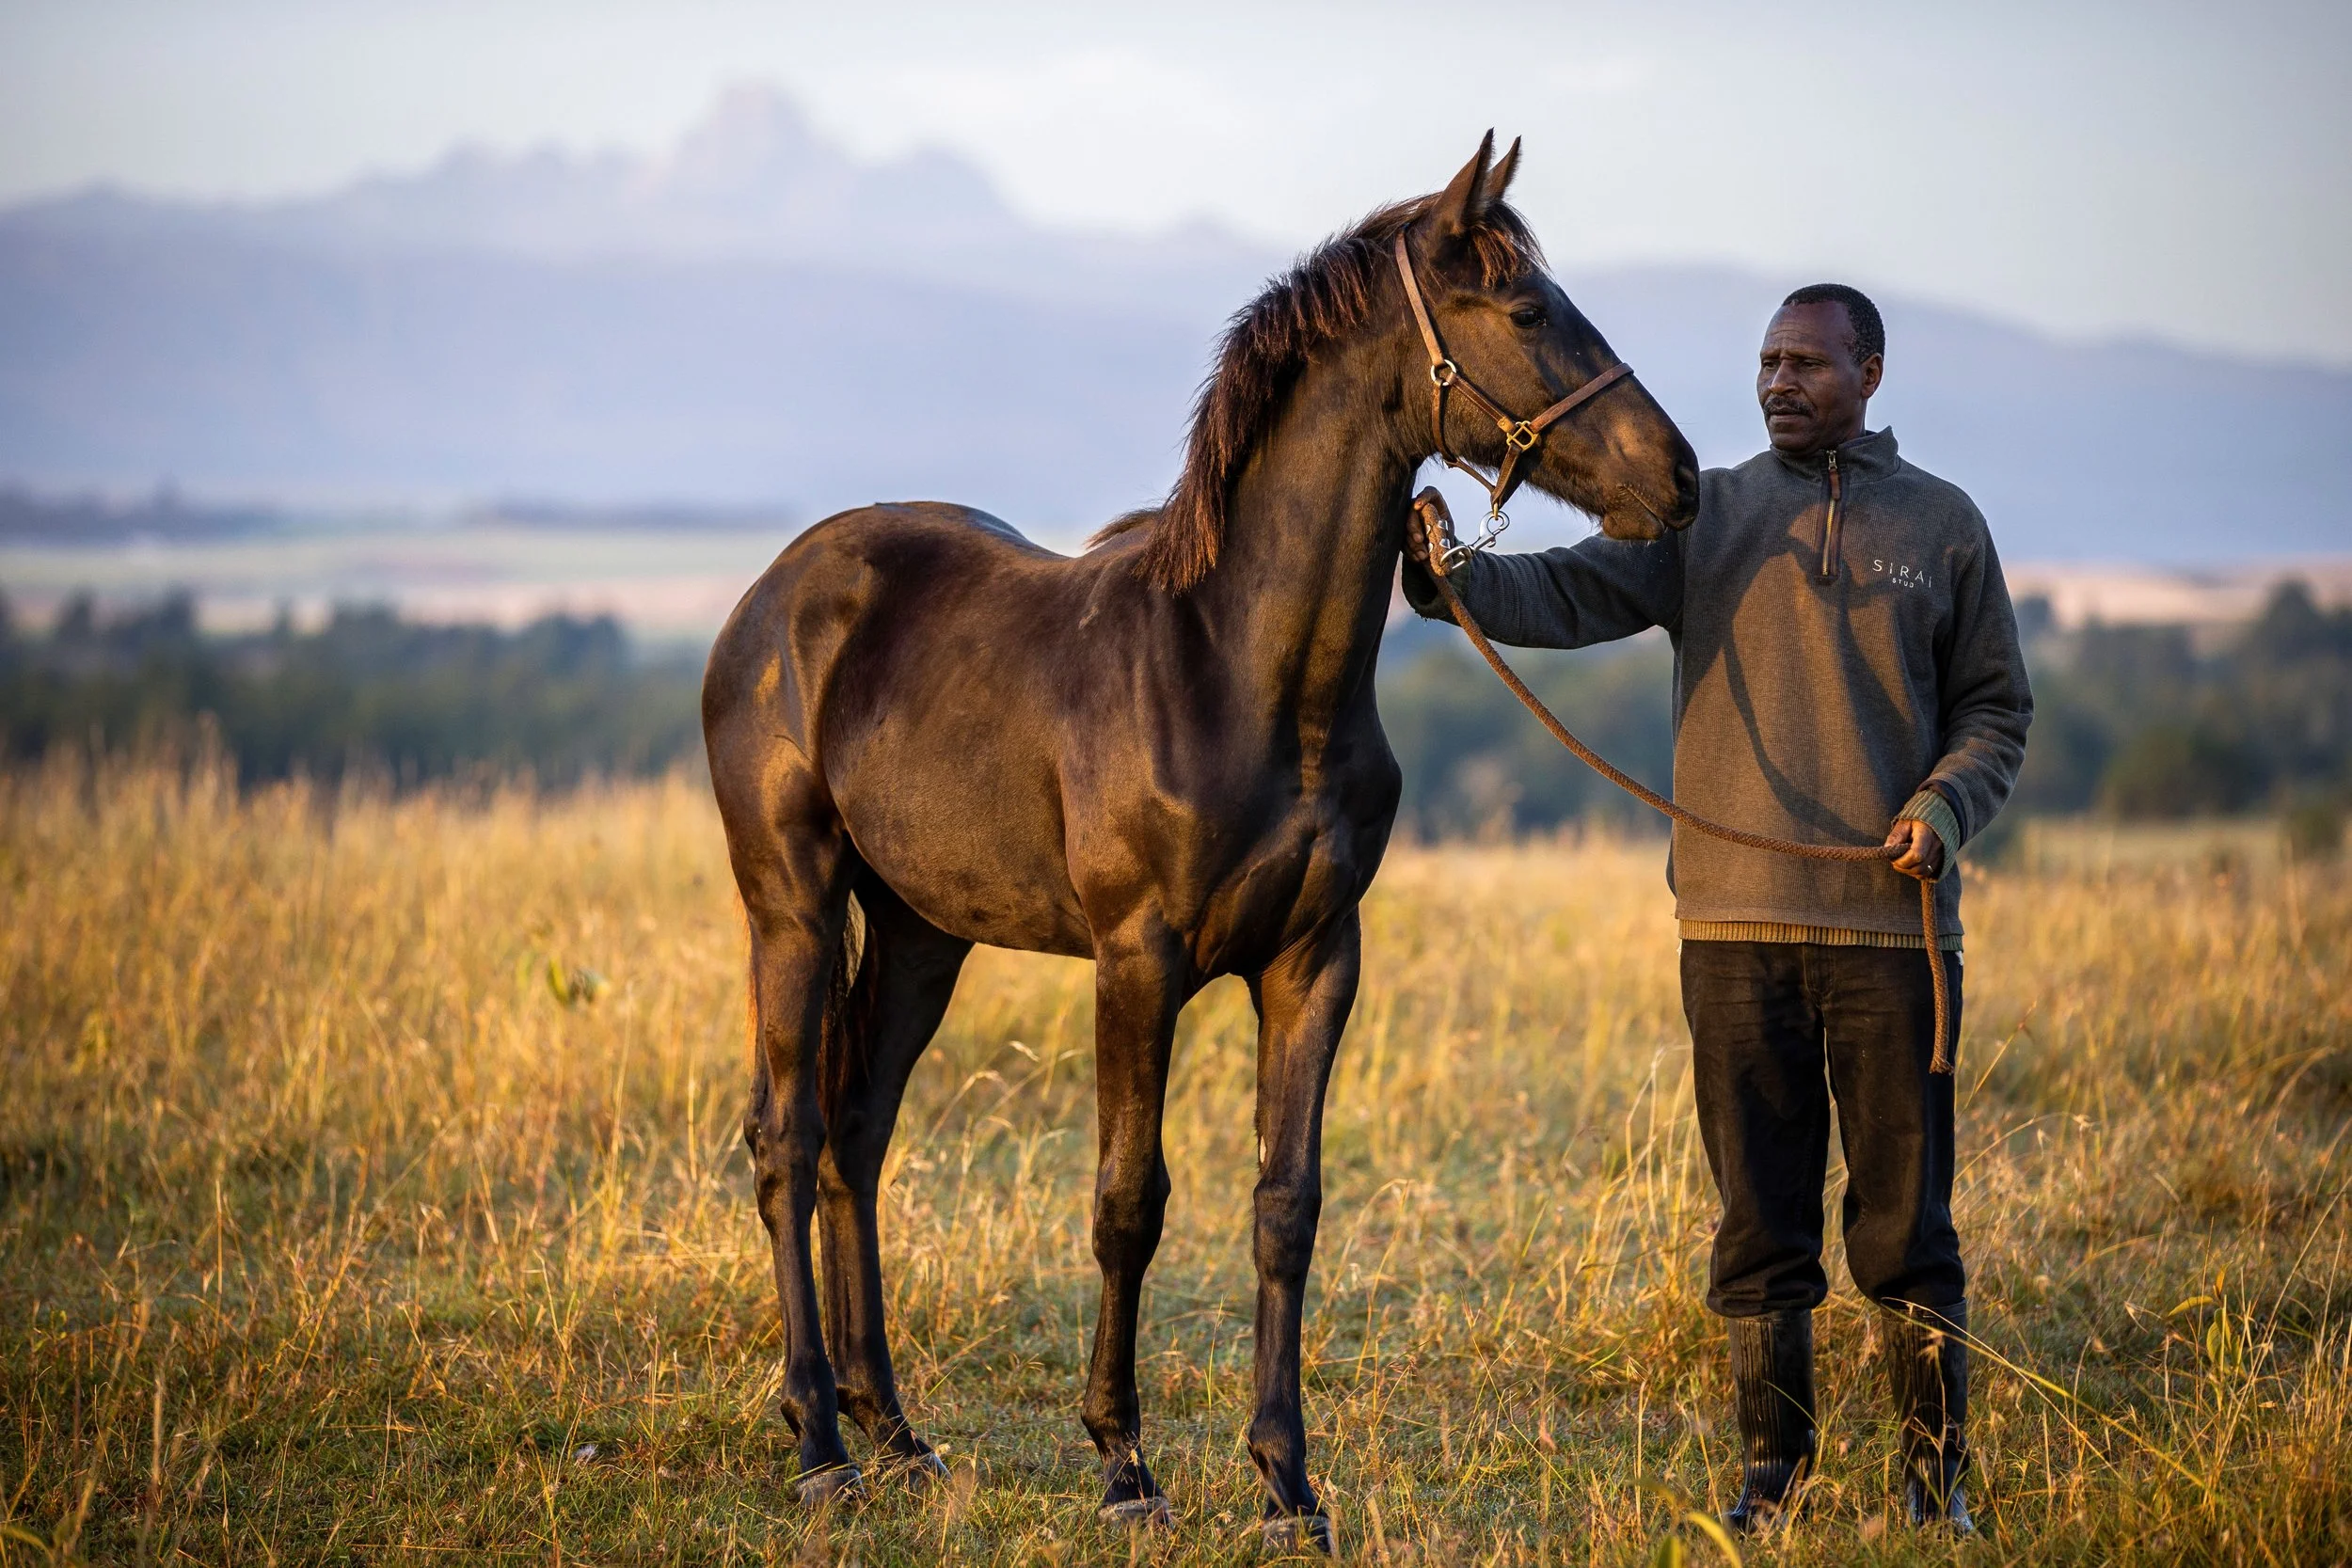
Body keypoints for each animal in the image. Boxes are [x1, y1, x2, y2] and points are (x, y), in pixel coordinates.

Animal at [701, 132, 1699, 1547]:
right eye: (1524, 313)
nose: (1678, 479)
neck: (1237, 670)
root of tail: (776, 592)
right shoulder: (1140, 962)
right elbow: (1129, 1200)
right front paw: (1125, 1465)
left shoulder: (1314, 959)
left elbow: (1287, 1203)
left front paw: (1286, 1482)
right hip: (789, 904)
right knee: (786, 1136)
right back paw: (818, 1443)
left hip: (919, 934)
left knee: (856, 1135)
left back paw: (895, 1432)